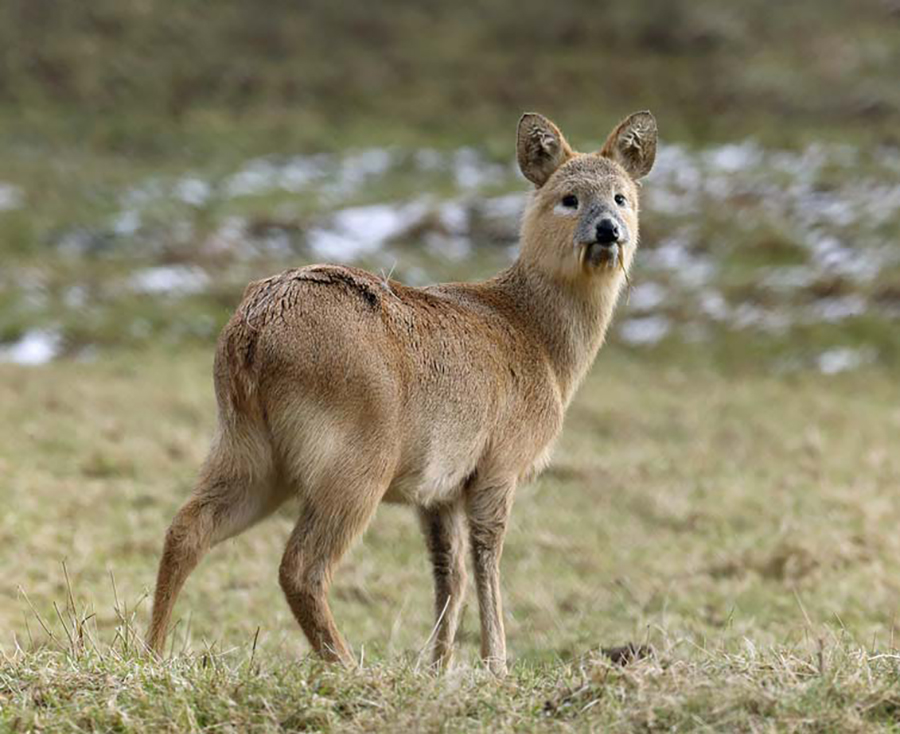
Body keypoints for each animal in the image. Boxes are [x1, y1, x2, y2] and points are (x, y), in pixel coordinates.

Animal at [146, 106, 652, 676]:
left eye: (621, 196)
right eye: (569, 198)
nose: (609, 230)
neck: (538, 340)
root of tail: (250, 334)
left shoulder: (437, 488)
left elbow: (448, 571)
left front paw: (438, 667)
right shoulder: (499, 463)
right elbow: (486, 558)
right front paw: (495, 664)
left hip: (245, 447)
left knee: (186, 529)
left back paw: (152, 653)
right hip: (354, 456)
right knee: (300, 565)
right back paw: (346, 665)